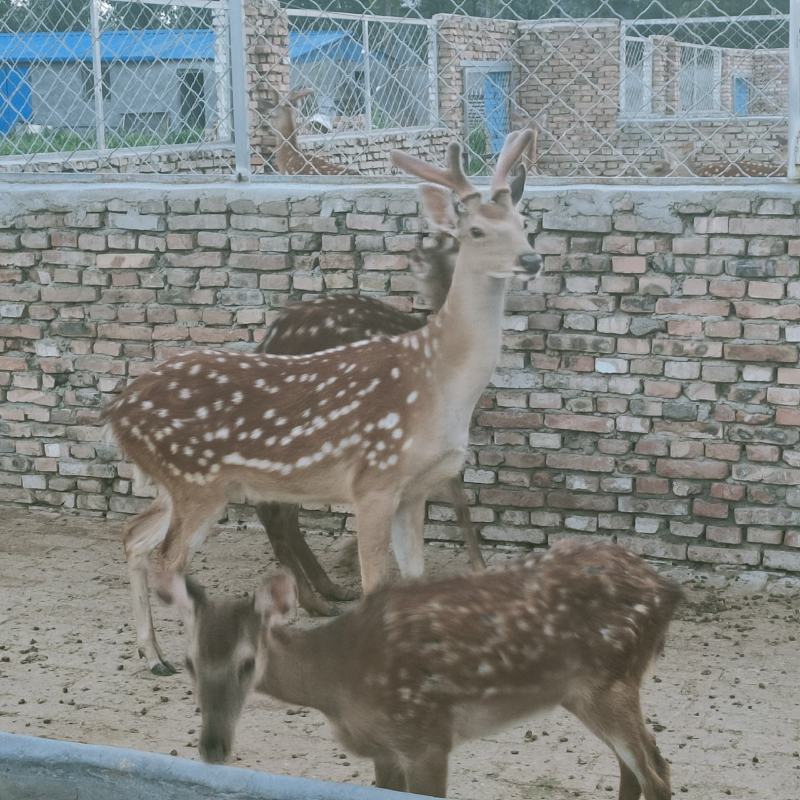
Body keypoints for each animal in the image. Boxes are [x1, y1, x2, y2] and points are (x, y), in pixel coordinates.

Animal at [103, 130, 541, 675]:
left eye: (524, 224)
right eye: (476, 230)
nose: (531, 261)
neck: (439, 381)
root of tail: (115, 412)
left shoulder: (415, 488)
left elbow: (416, 579)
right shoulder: (373, 480)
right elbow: (377, 584)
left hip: (178, 485)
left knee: (133, 536)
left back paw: (154, 655)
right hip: (195, 482)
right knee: (170, 561)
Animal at [161, 538, 681, 799]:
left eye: (247, 663)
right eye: (188, 661)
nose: (212, 747)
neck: (338, 681)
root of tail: (668, 589)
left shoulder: (426, 734)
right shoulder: (384, 747)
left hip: (608, 680)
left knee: (655, 773)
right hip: (589, 690)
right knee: (639, 765)